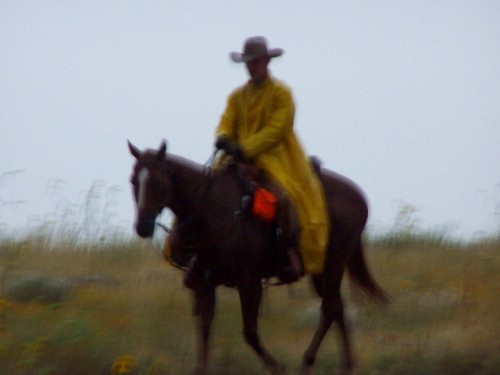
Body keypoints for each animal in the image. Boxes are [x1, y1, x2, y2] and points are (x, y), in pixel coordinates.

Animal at [128, 142, 386, 375]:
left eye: (158, 182)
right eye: (133, 181)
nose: (142, 227)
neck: (211, 211)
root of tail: (359, 197)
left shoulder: (249, 282)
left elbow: (250, 333)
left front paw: (277, 367)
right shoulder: (204, 283)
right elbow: (204, 330)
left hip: (334, 264)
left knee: (330, 308)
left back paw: (307, 363)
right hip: (321, 271)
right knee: (337, 307)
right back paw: (346, 364)